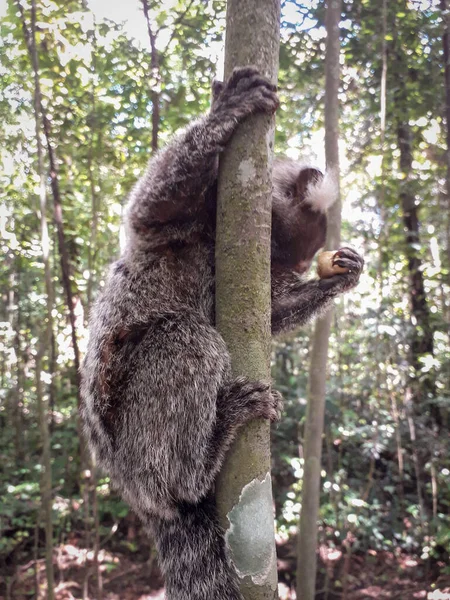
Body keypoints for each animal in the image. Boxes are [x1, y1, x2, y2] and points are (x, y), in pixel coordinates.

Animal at [80, 67, 362, 600]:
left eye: (298, 261)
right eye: (288, 251)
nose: (296, 269)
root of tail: (134, 492)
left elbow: (272, 315)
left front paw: (340, 278)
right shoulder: (177, 222)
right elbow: (152, 206)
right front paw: (225, 109)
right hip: (134, 443)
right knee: (186, 340)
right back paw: (205, 455)